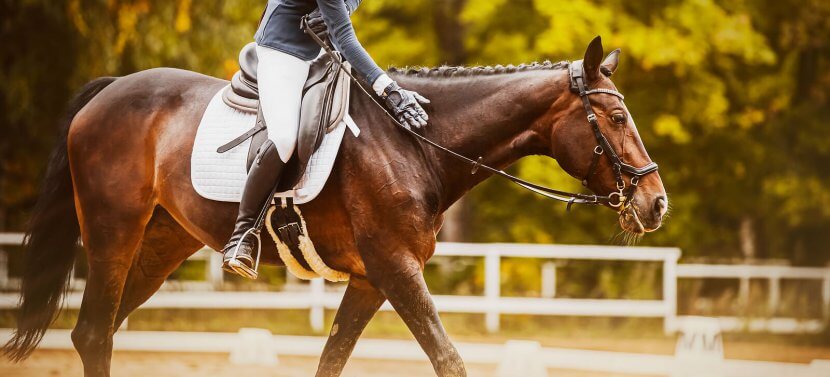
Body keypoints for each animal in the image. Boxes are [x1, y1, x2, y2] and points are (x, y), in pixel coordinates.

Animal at [4, 36, 668, 374]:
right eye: (615, 119)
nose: (656, 202)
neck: (414, 143)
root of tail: (110, 90)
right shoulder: (397, 268)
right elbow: (449, 358)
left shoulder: (372, 280)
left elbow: (331, 360)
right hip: (113, 234)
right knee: (95, 332)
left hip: (162, 243)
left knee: (98, 332)